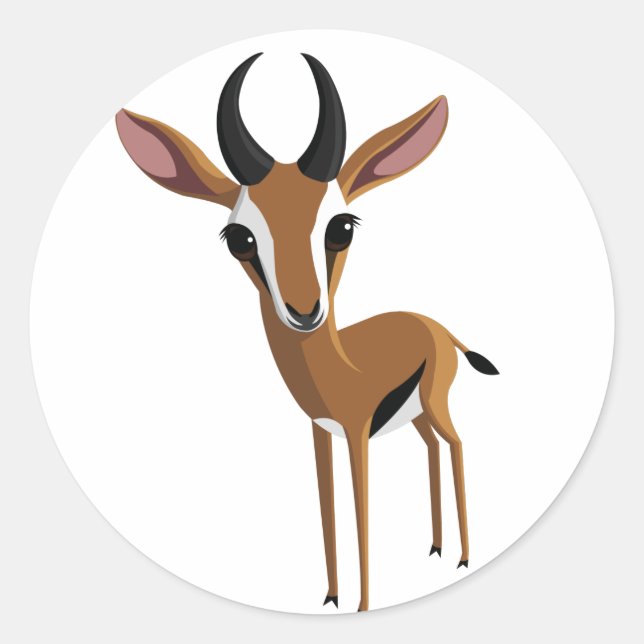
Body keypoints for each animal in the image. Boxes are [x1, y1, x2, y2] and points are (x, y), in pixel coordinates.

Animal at [115, 52, 499, 612]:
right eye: (240, 237)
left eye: (341, 227)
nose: (304, 311)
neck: (340, 368)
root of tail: (439, 328)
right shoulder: (320, 432)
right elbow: (327, 509)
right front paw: (332, 599)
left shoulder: (357, 435)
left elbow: (360, 512)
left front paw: (362, 606)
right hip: (417, 416)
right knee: (431, 446)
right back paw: (435, 548)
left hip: (436, 403)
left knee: (457, 444)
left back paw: (465, 557)